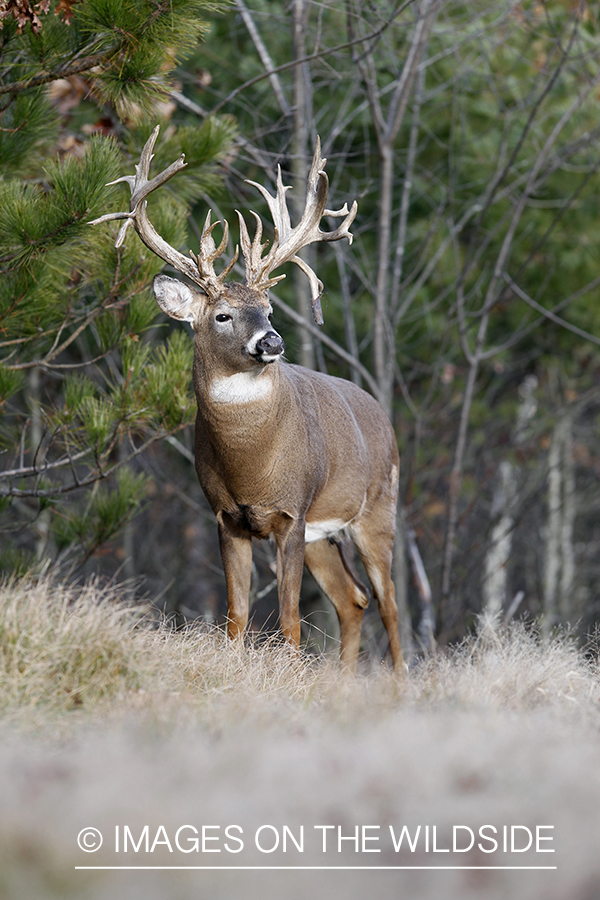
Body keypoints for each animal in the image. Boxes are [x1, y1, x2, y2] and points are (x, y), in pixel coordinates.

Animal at [90, 128, 408, 676]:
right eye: (222, 315)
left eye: (269, 308)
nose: (272, 342)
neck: (250, 463)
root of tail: (383, 418)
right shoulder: (226, 517)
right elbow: (236, 617)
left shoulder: (291, 512)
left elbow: (290, 620)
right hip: (324, 533)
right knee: (354, 599)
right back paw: (344, 680)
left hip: (376, 510)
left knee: (388, 603)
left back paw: (400, 682)